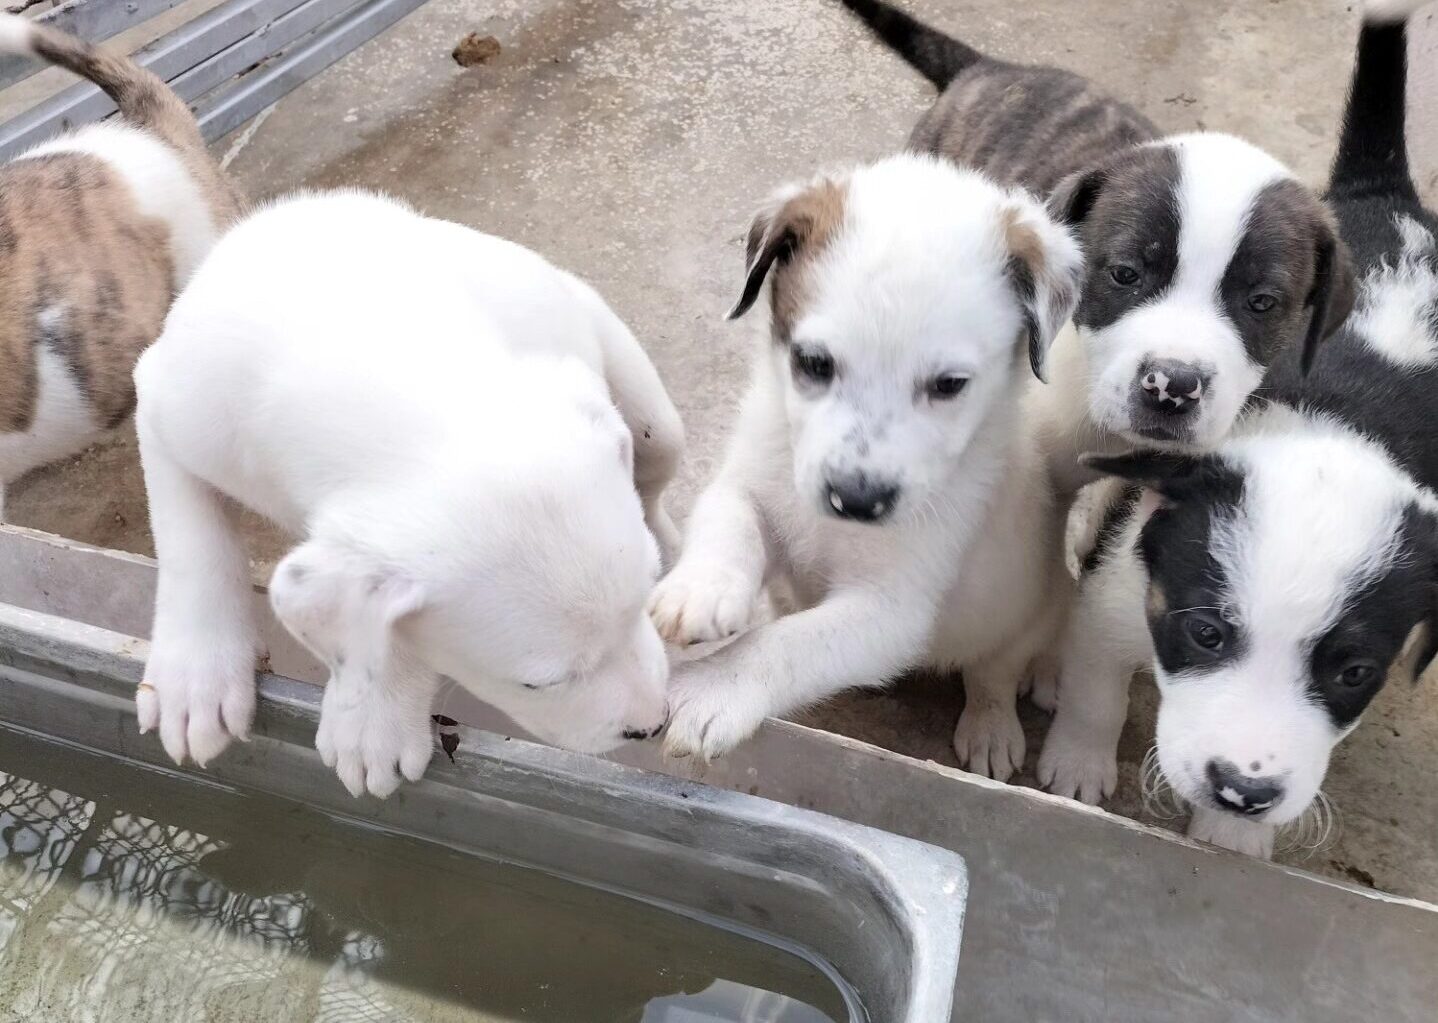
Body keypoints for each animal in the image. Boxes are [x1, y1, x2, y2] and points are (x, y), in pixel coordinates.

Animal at [132, 192, 681, 799]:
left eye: (639, 605)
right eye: (539, 683)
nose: (653, 724)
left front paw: (375, 718)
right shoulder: (165, 404)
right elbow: (192, 542)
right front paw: (193, 680)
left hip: (648, 415)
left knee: (653, 484)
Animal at [649, 153, 1081, 771]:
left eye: (949, 385)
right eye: (812, 362)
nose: (855, 499)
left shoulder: (890, 610)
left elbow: (787, 644)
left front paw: (713, 690)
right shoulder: (751, 479)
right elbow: (730, 521)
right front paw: (702, 589)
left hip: (1019, 610)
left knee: (994, 674)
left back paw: (996, 725)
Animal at [1058, 4, 1438, 857]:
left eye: (1353, 672)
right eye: (1206, 633)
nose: (1243, 787)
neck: (1327, 428)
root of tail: (1392, 199)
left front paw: (1232, 839)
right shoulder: (1120, 593)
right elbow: (1095, 687)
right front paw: (1075, 767)